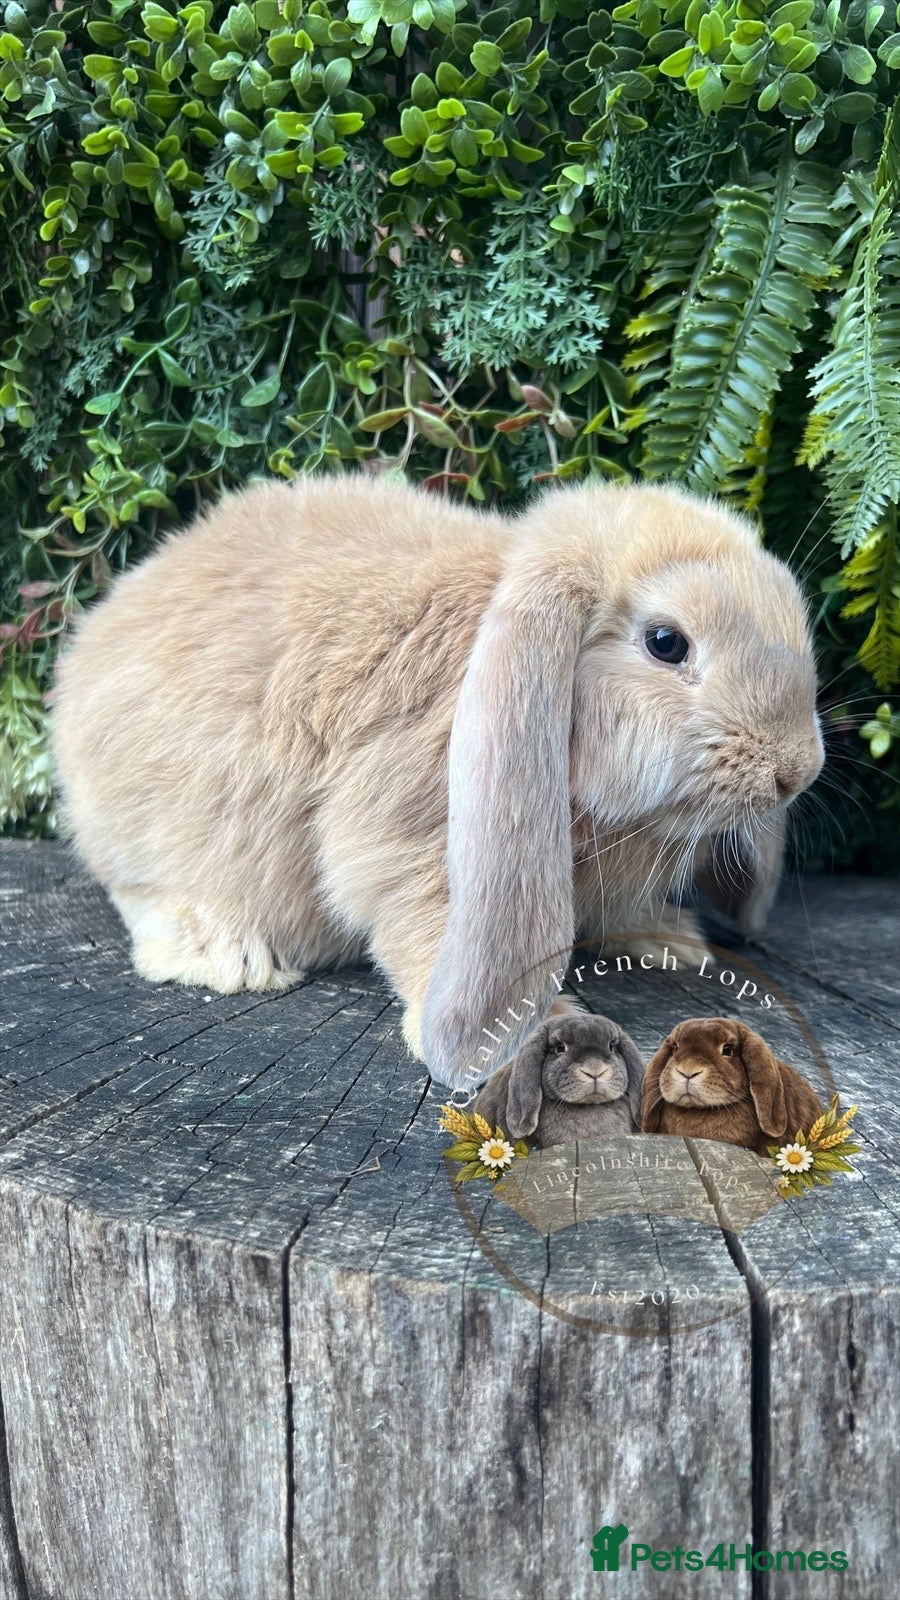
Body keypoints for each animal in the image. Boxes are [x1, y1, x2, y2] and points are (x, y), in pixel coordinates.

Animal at [51, 473, 824, 1088]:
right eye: (666, 643)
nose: (796, 770)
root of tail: (93, 638)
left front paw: (671, 938)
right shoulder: (408, 835)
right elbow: (418, 917)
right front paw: (538, 1034)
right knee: (140, 891)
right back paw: (227, 954)